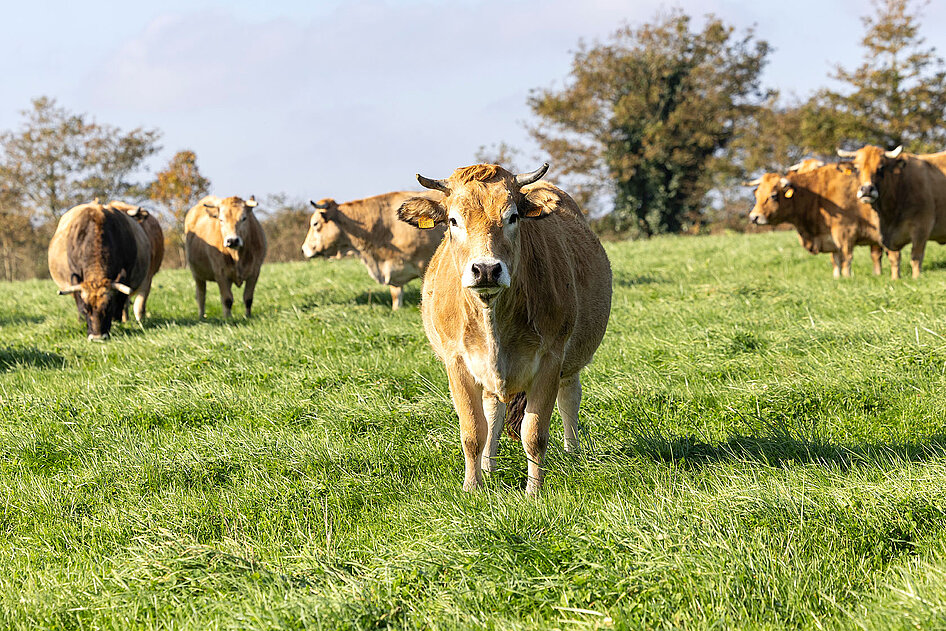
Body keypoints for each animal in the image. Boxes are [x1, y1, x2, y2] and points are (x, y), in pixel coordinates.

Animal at [397, 163, 612, 495]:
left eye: (512, 217)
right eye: (453, 220)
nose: (486, 269)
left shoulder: (550, 359)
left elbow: (534, 433)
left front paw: (534, 490)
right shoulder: (456, 362)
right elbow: (474, 431)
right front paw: (472, 486)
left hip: (571, 359)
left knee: (569, 399)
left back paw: (572, 454)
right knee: (492, 413)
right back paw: (488, 464)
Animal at [747, 162, 900, 279]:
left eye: (773, 195)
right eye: (757, 194)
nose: (754, 217)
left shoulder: (845, 233)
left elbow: (846, 259)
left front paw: (847, 277)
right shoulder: (830, 238)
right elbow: (835, 260)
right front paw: (837, 277)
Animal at [837, 145, 946, 278]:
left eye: (881, 168)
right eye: (857, 169)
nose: (867, 189)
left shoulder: (922, 227)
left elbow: (916, 257)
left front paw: (916, 278)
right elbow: (894, 259)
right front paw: (895, 278)